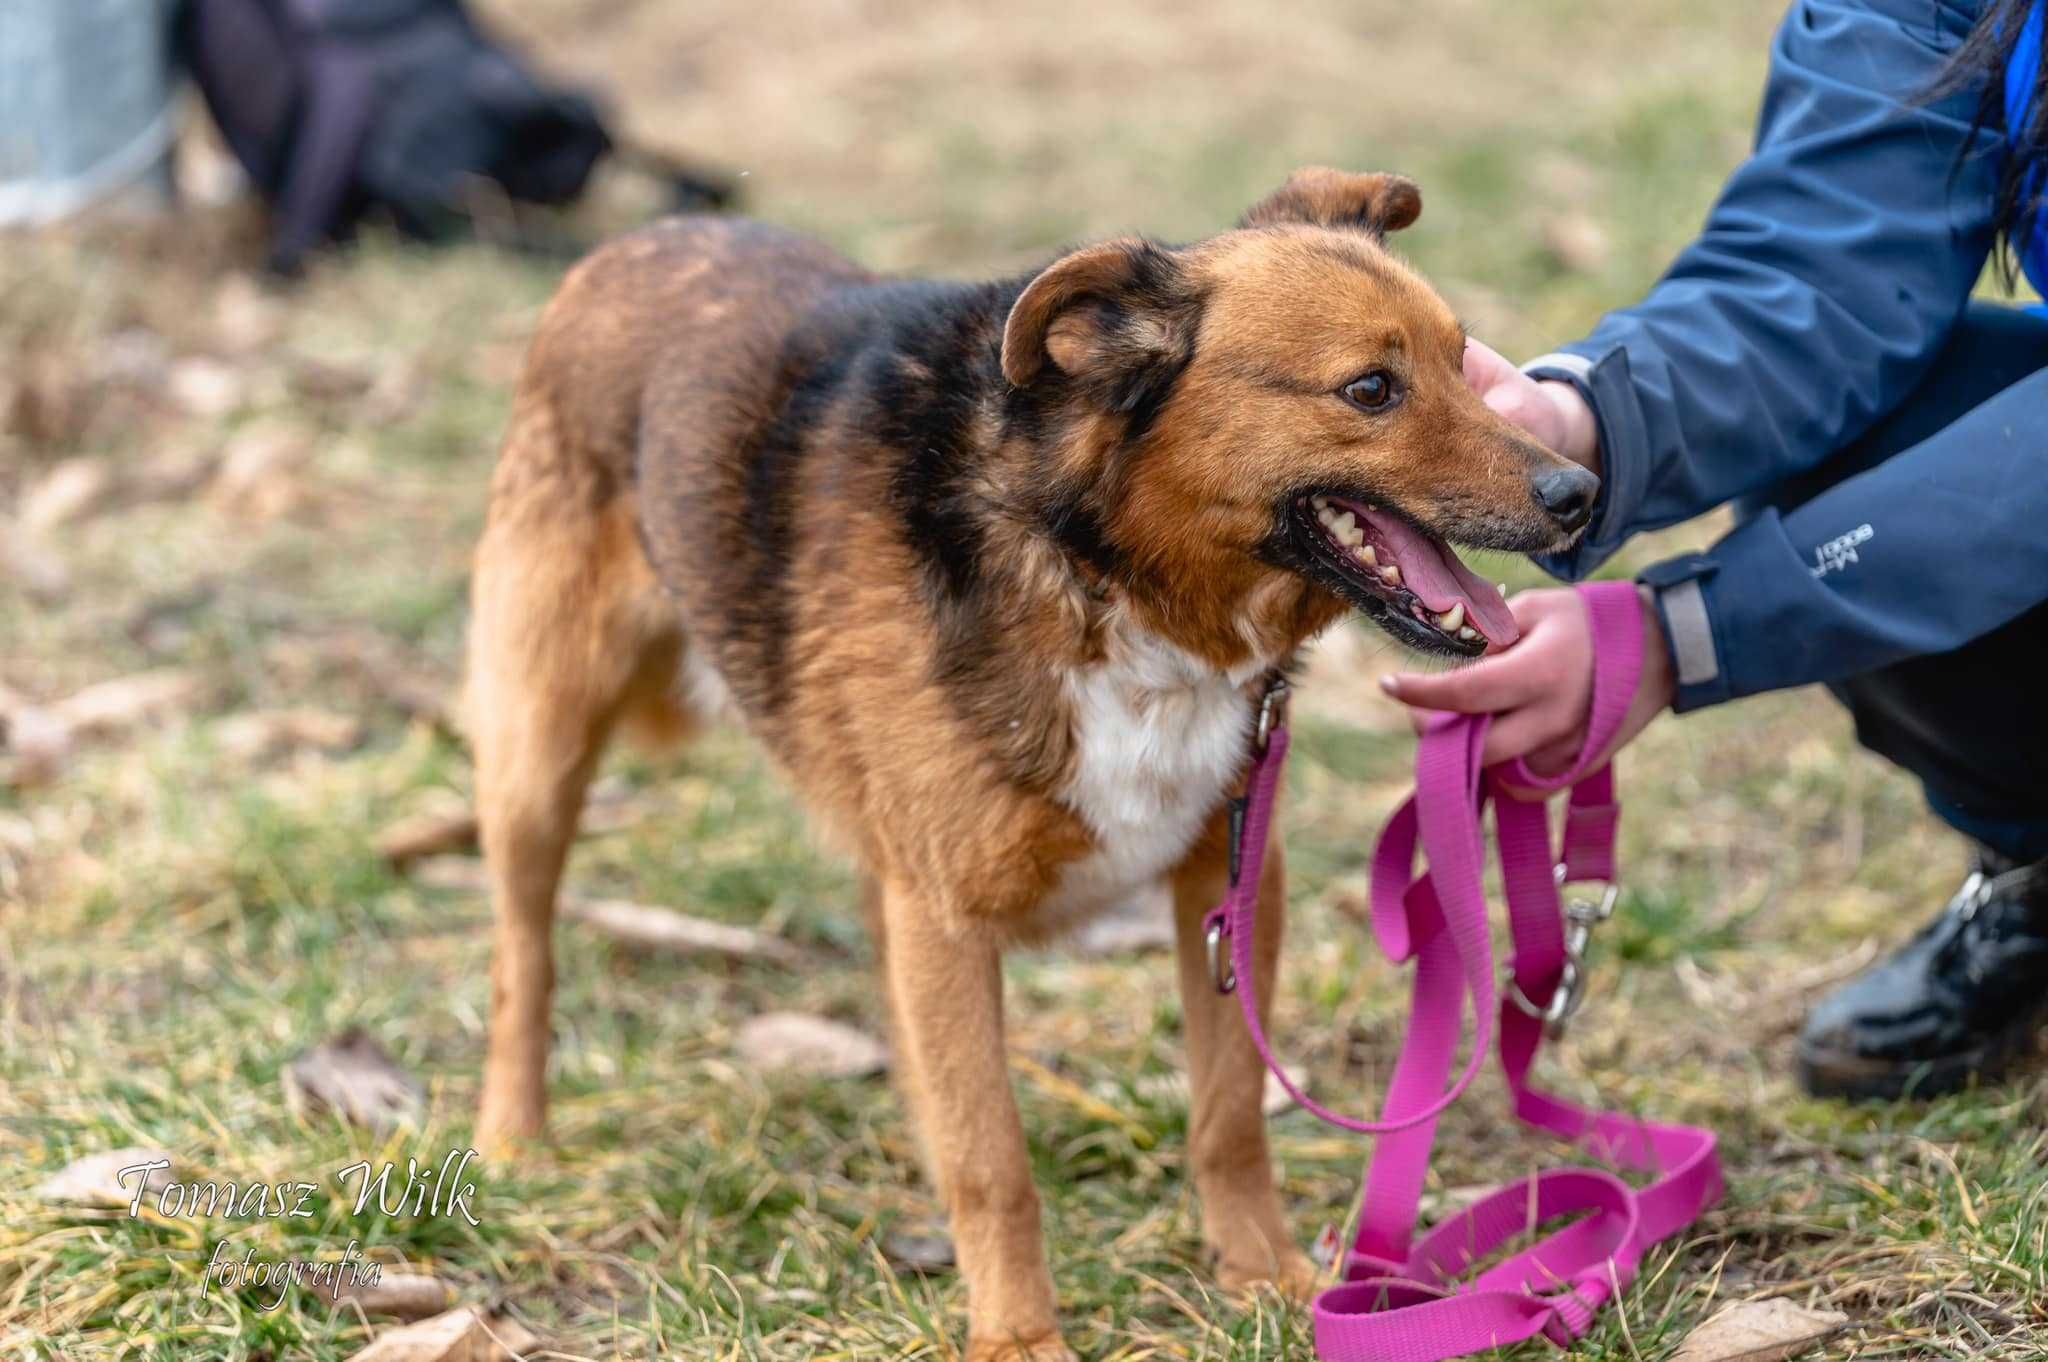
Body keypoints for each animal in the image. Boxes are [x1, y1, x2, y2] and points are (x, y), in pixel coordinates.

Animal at [464, 166, 1597, 1351]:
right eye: (1371, 389)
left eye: (1463, 361)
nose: (1579, 492)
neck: (1103, 574)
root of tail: (638, 241)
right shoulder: (946, 918)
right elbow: (992, 1158)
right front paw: (1015, 1335)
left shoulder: (1235, 876)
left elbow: (1227, 1111)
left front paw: (1265, 1273)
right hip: (537, 749)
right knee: (521, 955)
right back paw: (513, 1135)